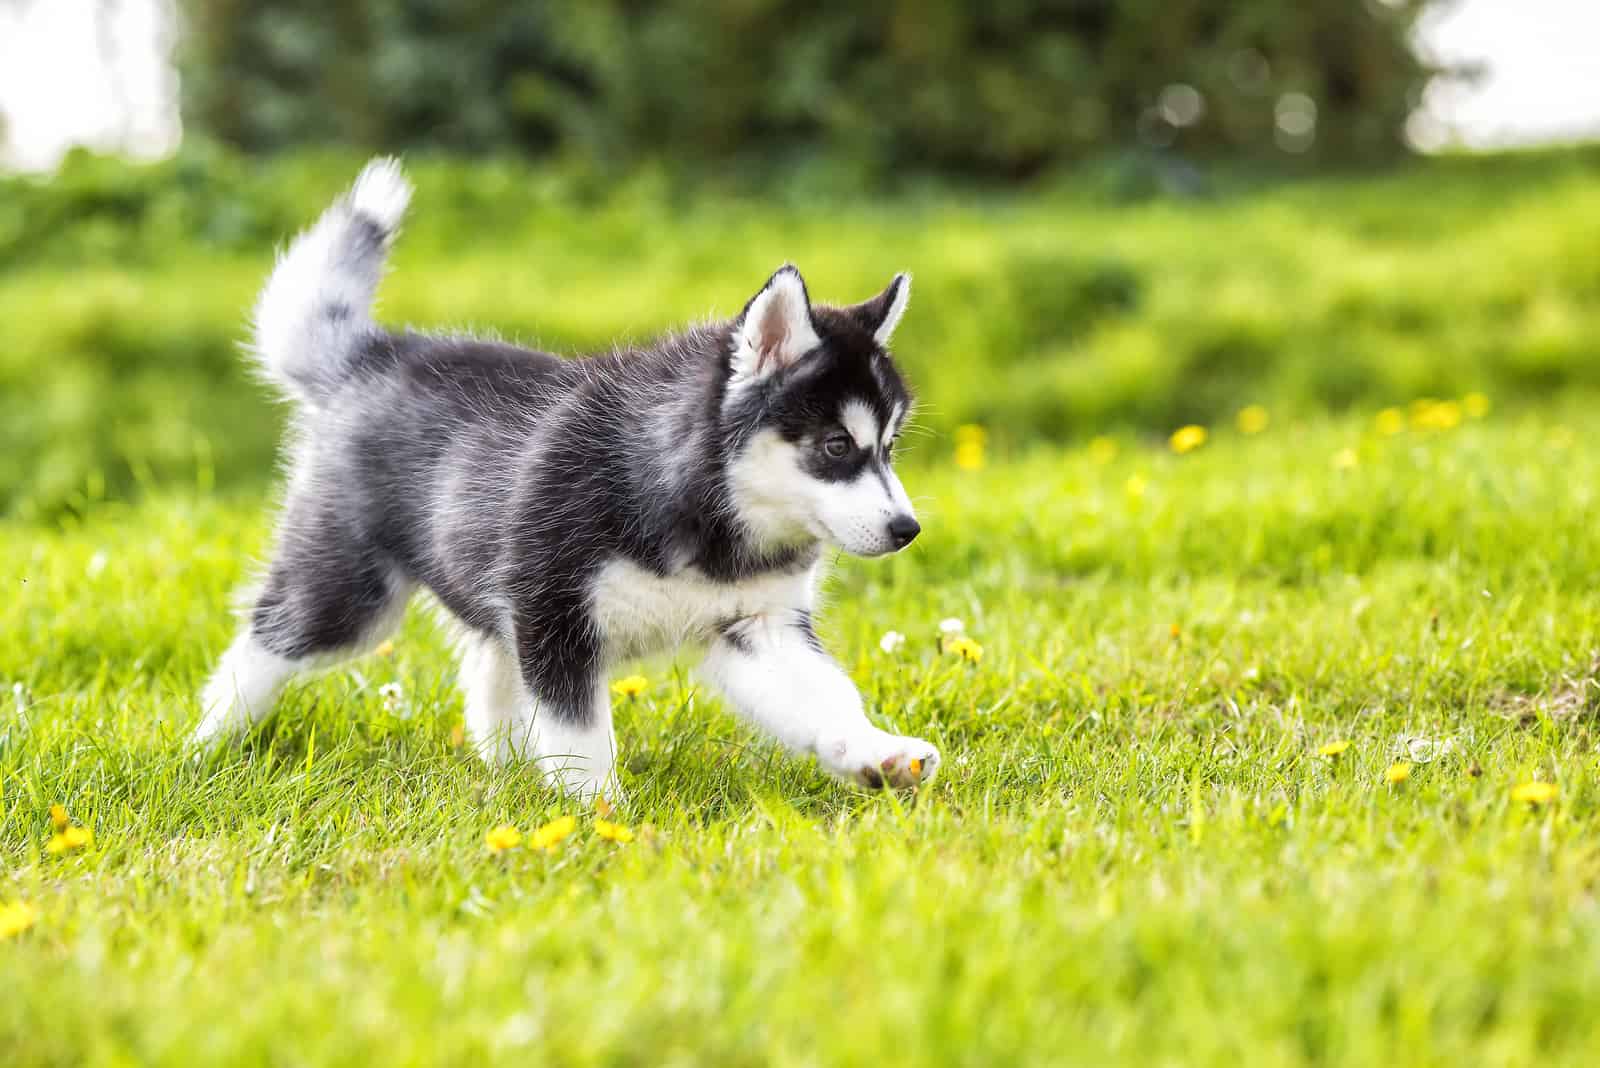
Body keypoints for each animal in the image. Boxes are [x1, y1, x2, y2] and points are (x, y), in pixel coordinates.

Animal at [196, 154, 934, 796]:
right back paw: (208, 745)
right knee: (270, 635)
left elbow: (825, 696)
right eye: (836, 445)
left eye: (889, 446)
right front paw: (599, 812)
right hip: (350, 589)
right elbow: (578, 732)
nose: (908, 529)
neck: (704, 512)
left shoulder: (755, 623)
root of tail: (377, 352)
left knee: (488, 662)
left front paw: (875, 751)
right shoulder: (555, 614)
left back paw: (504, 769)